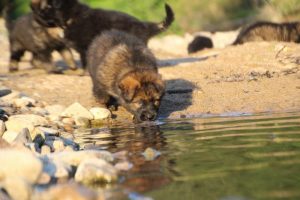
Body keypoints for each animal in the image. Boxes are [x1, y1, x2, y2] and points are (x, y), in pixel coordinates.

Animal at [29, 0, 175, 67]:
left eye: (48, 6)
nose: (37, 13)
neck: (72, 17)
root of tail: (144, 25)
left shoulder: (85, 47)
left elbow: (85, 63)